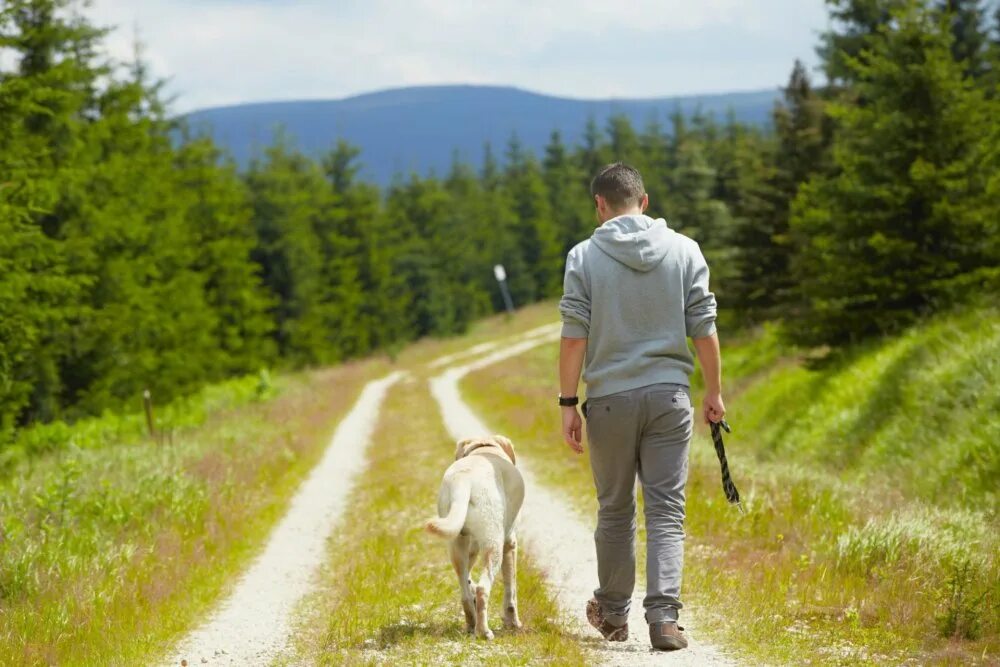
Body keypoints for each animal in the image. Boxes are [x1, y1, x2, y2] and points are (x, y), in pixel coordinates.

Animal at [424, 436, 524, 640]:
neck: (485, 447)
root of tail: (463, 481)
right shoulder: (510, 544)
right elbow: (511, 590)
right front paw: (513, 623)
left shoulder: (472, 547)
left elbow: (470, 579)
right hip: (494, 546)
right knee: (483, 589)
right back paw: (483, 631)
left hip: (456, 545)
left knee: (464, 591)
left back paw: (471, 623)